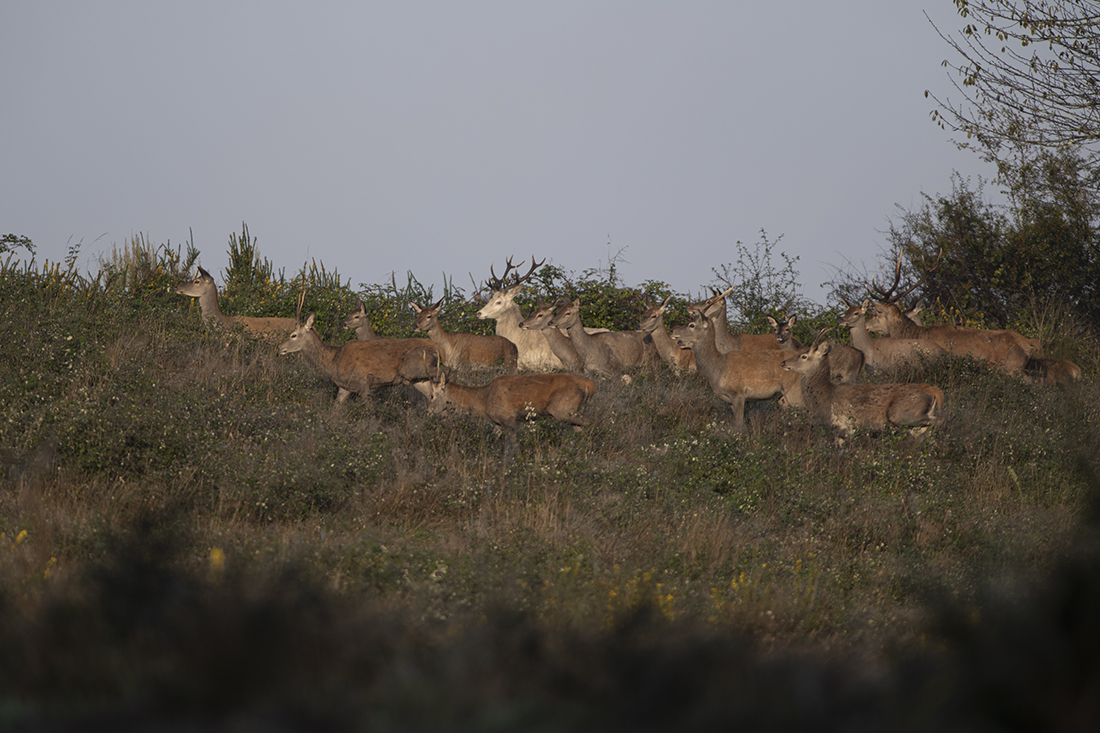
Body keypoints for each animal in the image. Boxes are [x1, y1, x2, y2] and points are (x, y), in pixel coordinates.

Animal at [277, 313, 438, 403]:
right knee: (432, 394)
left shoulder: (363, 384)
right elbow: (335, 409)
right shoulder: (345, 386)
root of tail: (435, 347)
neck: (333, 361)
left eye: (293, 335)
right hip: (417, 380)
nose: (280, 348)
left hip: (414, 370)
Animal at [670, 309, 803, 432]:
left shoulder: (738, 392)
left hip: (794, 389)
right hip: (782, 396)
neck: (717, 369)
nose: (672, 331)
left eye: (691, 325)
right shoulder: (729, 400)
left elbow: (739, 424)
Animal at [782, 341, 945, 445]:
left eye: (804, 356)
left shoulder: (847, 425)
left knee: (939, 421)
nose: (784, 363)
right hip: (915, 425)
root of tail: (933, 391)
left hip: (902, 414)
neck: (825, 398)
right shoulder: (838, 431)